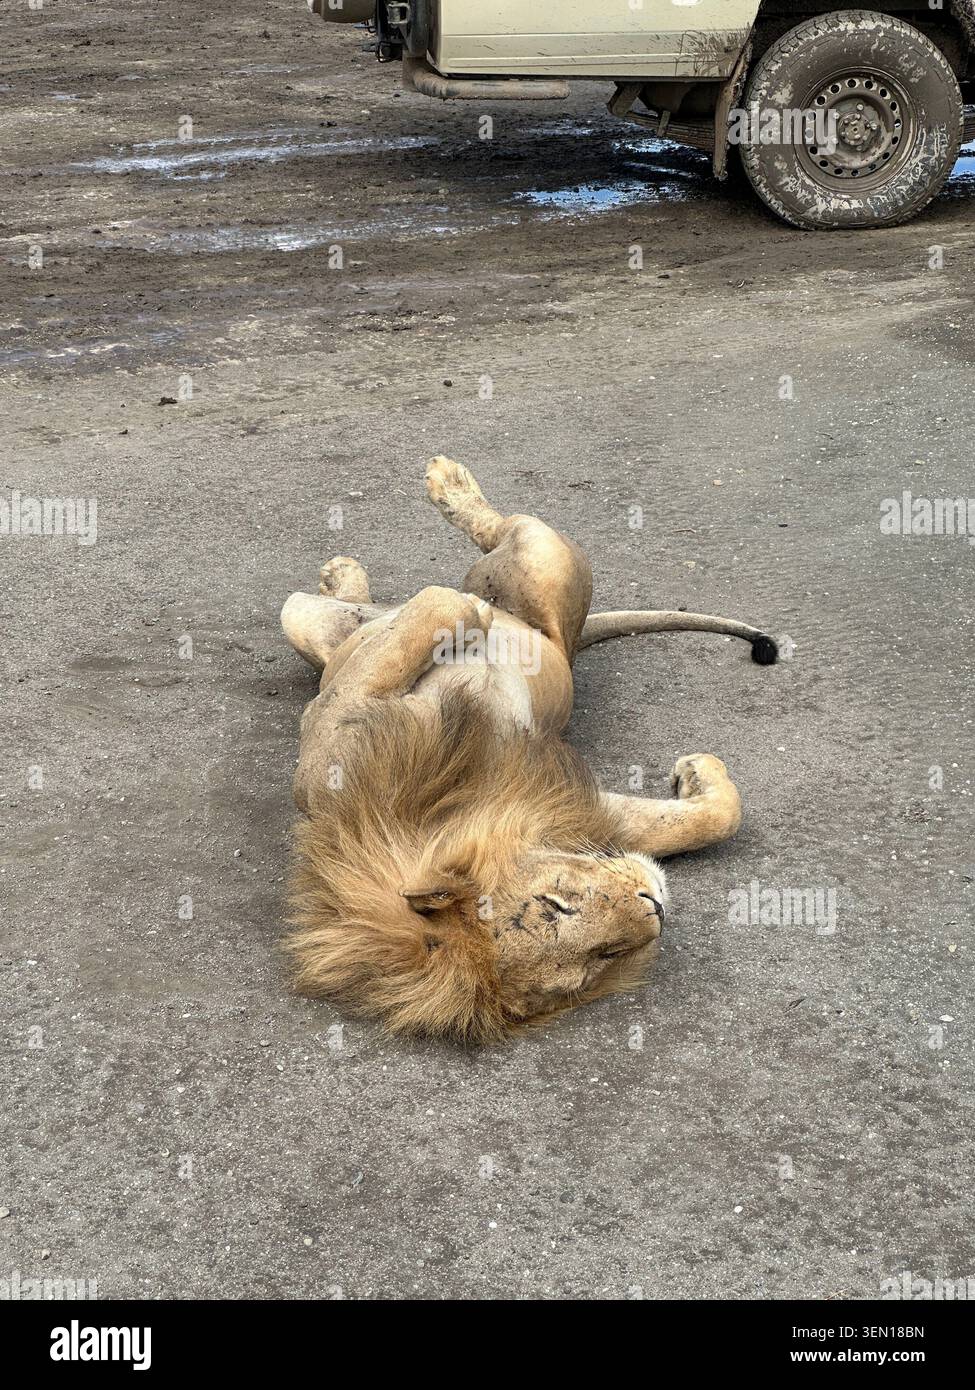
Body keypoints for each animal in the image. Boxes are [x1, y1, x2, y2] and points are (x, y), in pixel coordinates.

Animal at [280, 457, 777, 1041]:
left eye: (556, 902)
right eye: (598, 957)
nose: (655, 904)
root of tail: (574, 636)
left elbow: (437, 605)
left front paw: (698, 769)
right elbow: (701, 822)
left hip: (537, 566)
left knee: (500, 533)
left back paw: (437, 501)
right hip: (308, 620)